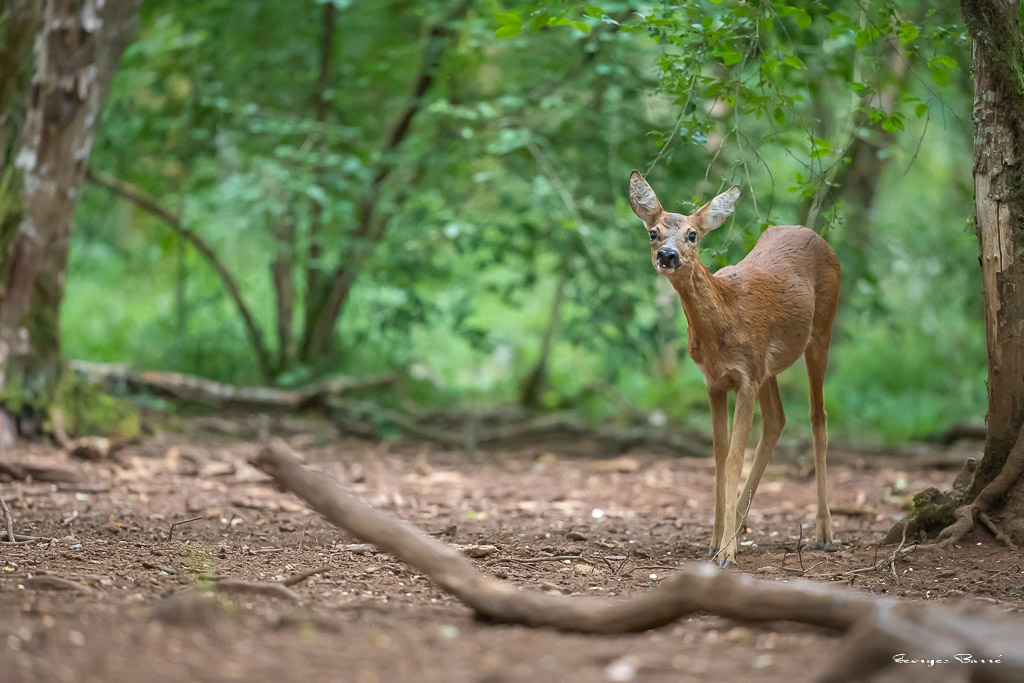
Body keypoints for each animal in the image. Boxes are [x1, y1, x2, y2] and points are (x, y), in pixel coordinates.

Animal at [627, 171, 841, 567]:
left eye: (692, 234)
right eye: (653, 232)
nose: (667, 255)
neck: (726, 315)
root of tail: (814, 234)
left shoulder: (745, 379)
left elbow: (734, 459)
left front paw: (726, 552)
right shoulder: (715, 381)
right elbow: (719, 456)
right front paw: (715, 542)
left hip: (820, 332)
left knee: (818, 417)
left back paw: (824, 532)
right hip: (768, 367)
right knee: (777, 419)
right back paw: (740, 526)